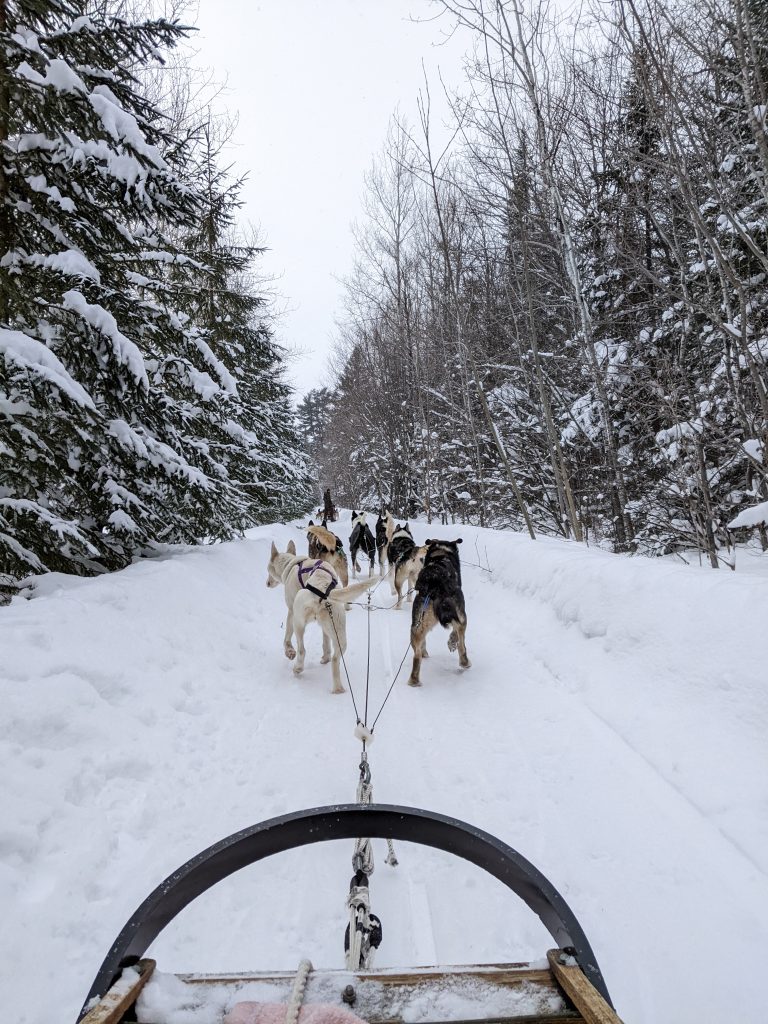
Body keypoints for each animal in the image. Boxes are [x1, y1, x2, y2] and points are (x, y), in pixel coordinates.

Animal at [266, 536, 376, 696]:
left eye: (268, 570)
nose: (267, 583)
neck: (291, 565)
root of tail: (323, 590)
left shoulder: (291, 612)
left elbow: (286, 638)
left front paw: (289, 652)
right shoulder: (325, 627)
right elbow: (326, 642)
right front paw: (325, 657)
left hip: (299, 622)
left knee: (302, 649)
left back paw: (298, 667)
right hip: (340, 634)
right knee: (336, 659)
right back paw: (338, 688)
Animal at [409, 536, 468, 688]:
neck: (441, 554)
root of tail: (433, 582)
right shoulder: (458, 614)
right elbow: (455, 633)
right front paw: (452, 642)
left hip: (417, 624)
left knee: (417, 653)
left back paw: (414, 680)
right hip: (460, 614)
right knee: (461, 639)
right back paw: (465, 662)